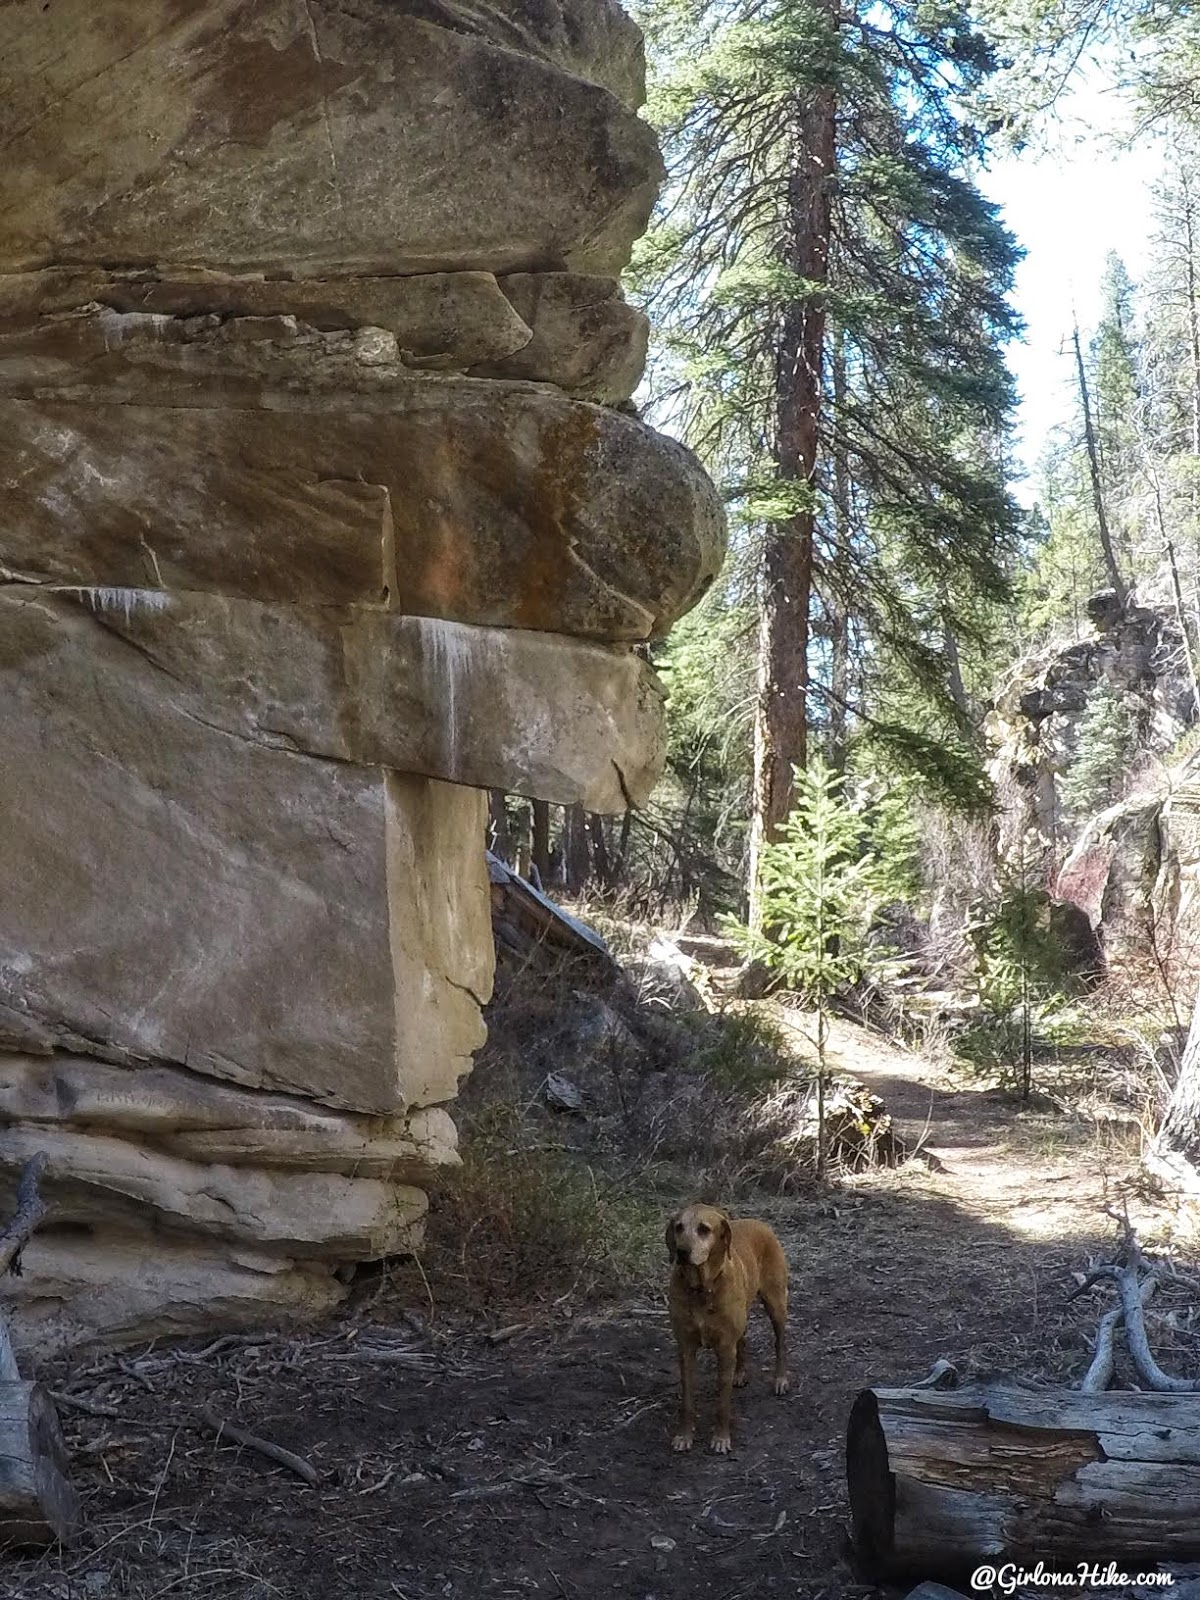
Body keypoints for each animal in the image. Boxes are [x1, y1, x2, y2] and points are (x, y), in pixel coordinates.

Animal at [668, 1203, 790, 1459]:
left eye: (704, 1229)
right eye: (678, 1227)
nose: (682, 1252)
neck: (702, 1289)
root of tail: (759, 1222)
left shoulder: (724, 1350)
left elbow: (722, 1404)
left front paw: (721, 1438)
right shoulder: (686, 1348)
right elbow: (687, 1400)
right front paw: (684, 1435)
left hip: (776, 1303)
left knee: (780, 1342)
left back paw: (780, 1379)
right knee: (742, 1340)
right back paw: (741, 1372)